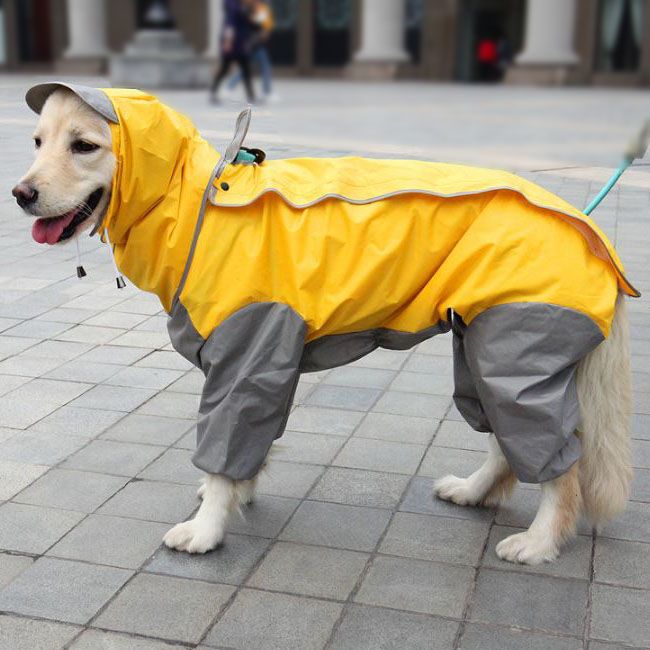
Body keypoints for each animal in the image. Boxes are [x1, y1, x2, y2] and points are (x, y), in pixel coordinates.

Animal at [13, 85, 632, 560]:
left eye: (85, 146)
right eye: (38, 142)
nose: (20, 193)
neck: (199, 207)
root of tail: (592, 231)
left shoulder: (247, 351)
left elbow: (223, 449)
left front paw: (207, 529)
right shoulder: (259, 360)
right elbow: (245, 448)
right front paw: (236, 497)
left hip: (515, 348)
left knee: (560, 464)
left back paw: (540, 542)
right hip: (484, 349)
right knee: (509, 441)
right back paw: (474, 492)